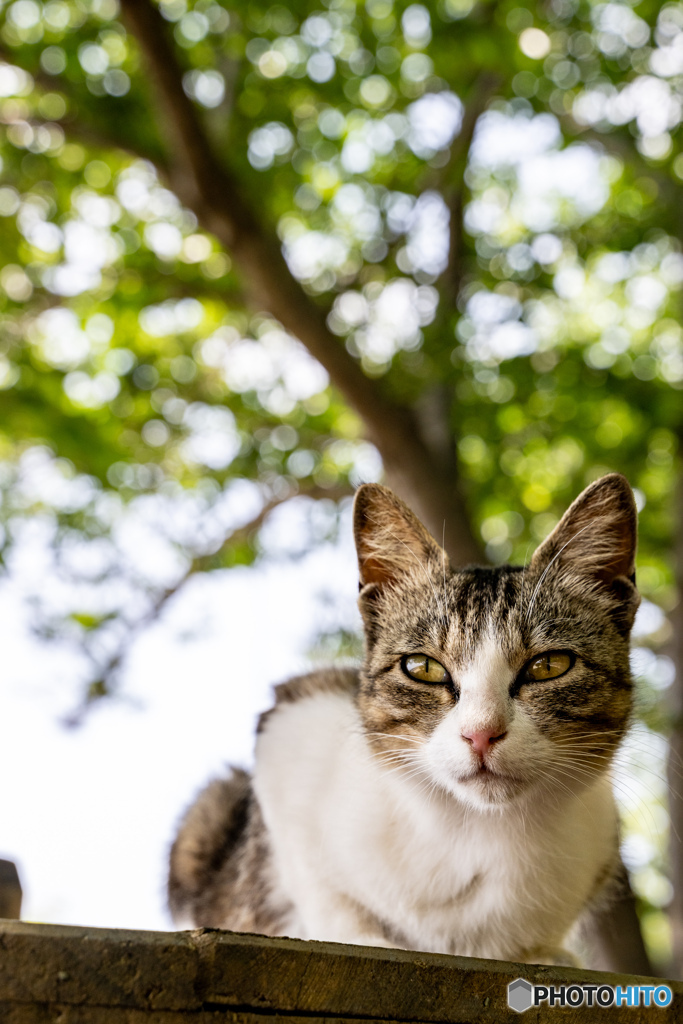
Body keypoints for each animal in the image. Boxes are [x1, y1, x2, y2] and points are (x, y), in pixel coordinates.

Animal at [169, 475, 643, 962]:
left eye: (549, 665)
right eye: (422, 667)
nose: (481, 733)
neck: (479, 833)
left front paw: (542, 953)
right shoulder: (292, 719)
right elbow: (322, 892)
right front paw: (361, 936)